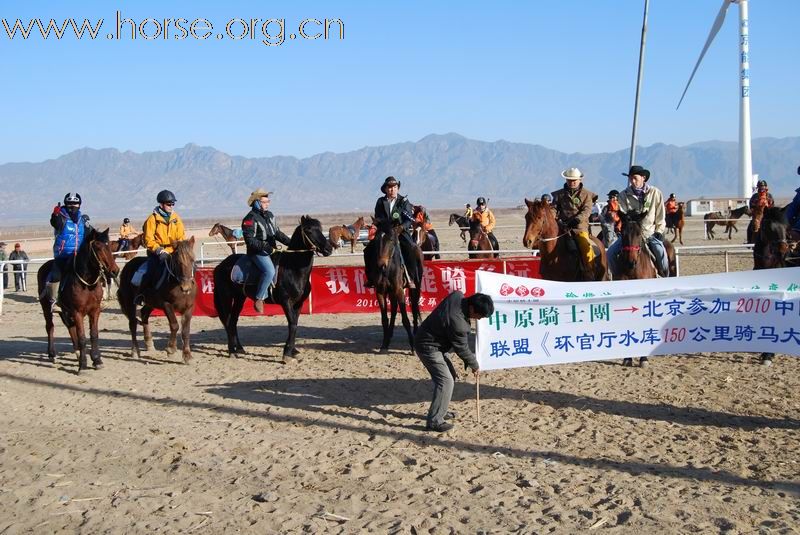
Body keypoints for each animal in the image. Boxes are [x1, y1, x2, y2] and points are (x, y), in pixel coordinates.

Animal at [36, 229, 119, 372]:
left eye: (109, 246)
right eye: (98, 247)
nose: (115, 271)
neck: (87, 282)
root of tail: (43, 267)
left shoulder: (94, 311)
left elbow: (94, 334)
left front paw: (97, 360)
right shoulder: (77, 312)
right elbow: (82, 337)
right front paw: (83, 365)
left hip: (65, 311)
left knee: (70, 326)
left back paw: (77, 352)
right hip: (46, 307)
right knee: (50, 327)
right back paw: (52, 354)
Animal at [211, 216, 332, 362]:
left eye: (320, 228)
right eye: (308, 230)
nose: (329, 248)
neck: (292, 268)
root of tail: (220, 266)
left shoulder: (298, 303)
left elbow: (295, 324)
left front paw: (293, 351)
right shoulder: (286, 302)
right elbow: (292, 324)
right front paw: (287, 353)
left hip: (240, 298)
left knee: (233, 321)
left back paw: (239, 348)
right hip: (226, 297)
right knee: (228, 322)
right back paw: (232, 351)